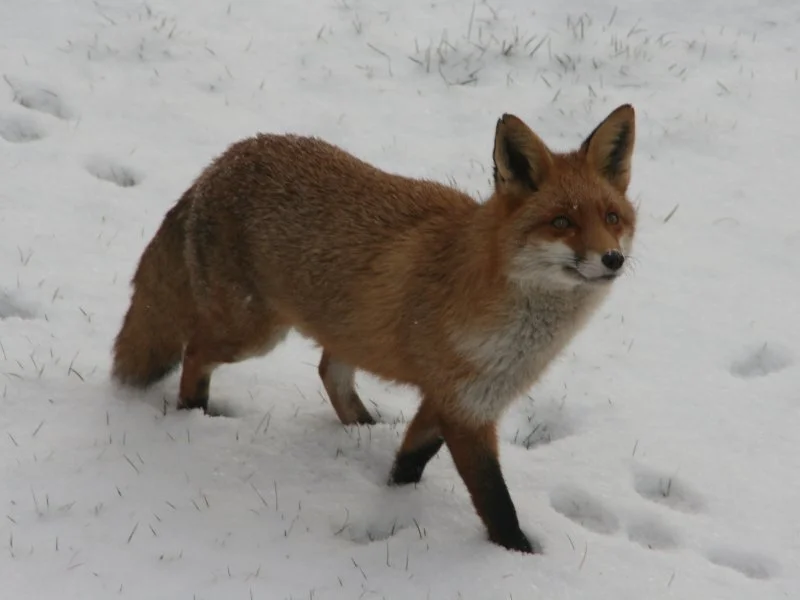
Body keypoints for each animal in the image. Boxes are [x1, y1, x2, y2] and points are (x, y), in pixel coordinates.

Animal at [112, 104, 637, 553]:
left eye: (612, 218)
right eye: (562, 222)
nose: (613, 259)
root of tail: (223, 160)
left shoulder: (452, 398)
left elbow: (411, 459)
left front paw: (393, 497)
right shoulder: (466, 410)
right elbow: (496, 504)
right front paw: (519, 557)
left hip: (343, 328)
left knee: (327, 371)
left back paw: (362, 427)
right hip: (252, 333)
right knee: (195, 351)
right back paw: (193, 414)